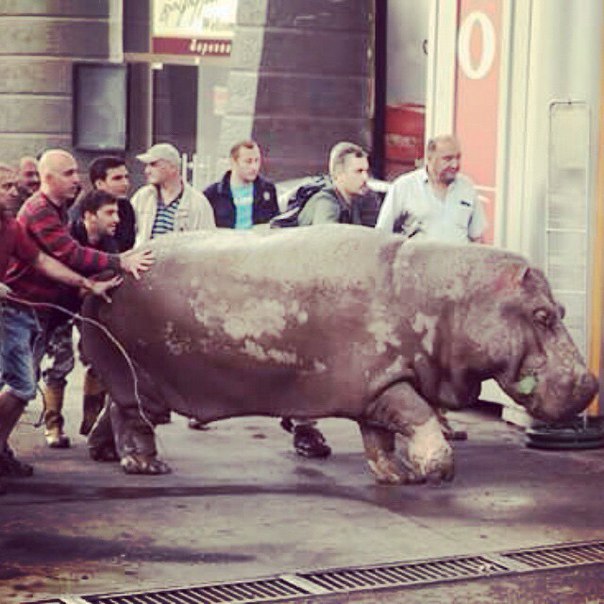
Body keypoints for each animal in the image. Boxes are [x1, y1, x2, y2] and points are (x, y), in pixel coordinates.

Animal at [80, 226, 600, 486]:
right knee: (131, 420)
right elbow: (419, 416)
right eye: (542, 315)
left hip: (134, 379)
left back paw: (103, 454)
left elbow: (381, 438)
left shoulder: (379, 385)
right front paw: (438, 472)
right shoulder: (388, 382)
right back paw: (146, 467)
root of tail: (111, 268)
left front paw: (398, 476)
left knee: (113, 411)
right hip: (136, 378)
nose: (591, 383)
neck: (451, 298)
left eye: (562, 310)